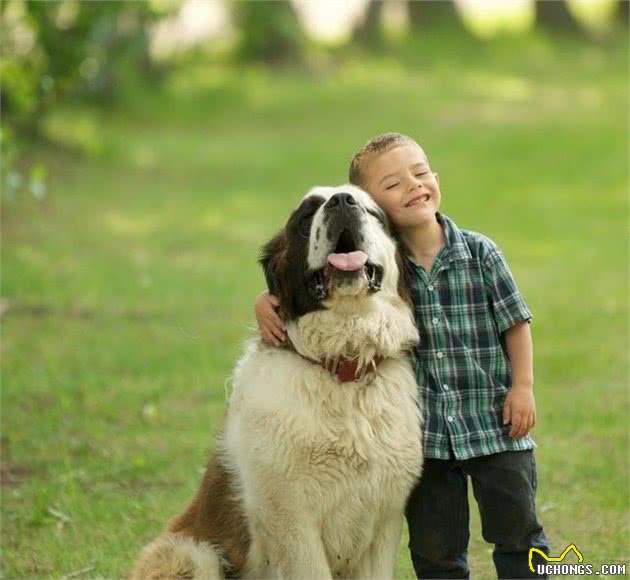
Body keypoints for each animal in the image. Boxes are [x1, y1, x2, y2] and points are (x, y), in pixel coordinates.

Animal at [132, 186, 424, 580]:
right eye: (306, 217)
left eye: (372, 212)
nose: (342, 201)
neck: (342, 365)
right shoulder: (292, 522)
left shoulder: (385, 519)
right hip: (190, 554)